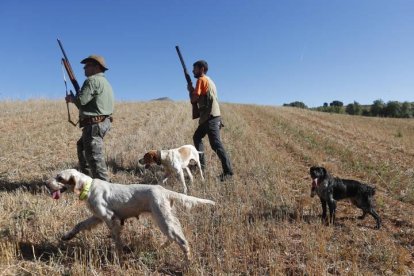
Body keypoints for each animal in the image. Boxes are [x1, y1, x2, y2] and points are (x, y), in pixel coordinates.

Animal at [45, 168, 215, 264]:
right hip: (163, 219)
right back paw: (161, 248)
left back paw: (187, 263)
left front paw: (118, 257)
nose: (46, 184)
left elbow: (116, 240)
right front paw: (67, 236)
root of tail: (164, 190)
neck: (89, 187)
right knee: (172, 238)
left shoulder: (110, 218)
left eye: (60, 178)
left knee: (182, 241)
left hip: (163, 219)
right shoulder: (97, 217)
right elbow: (79, 225)